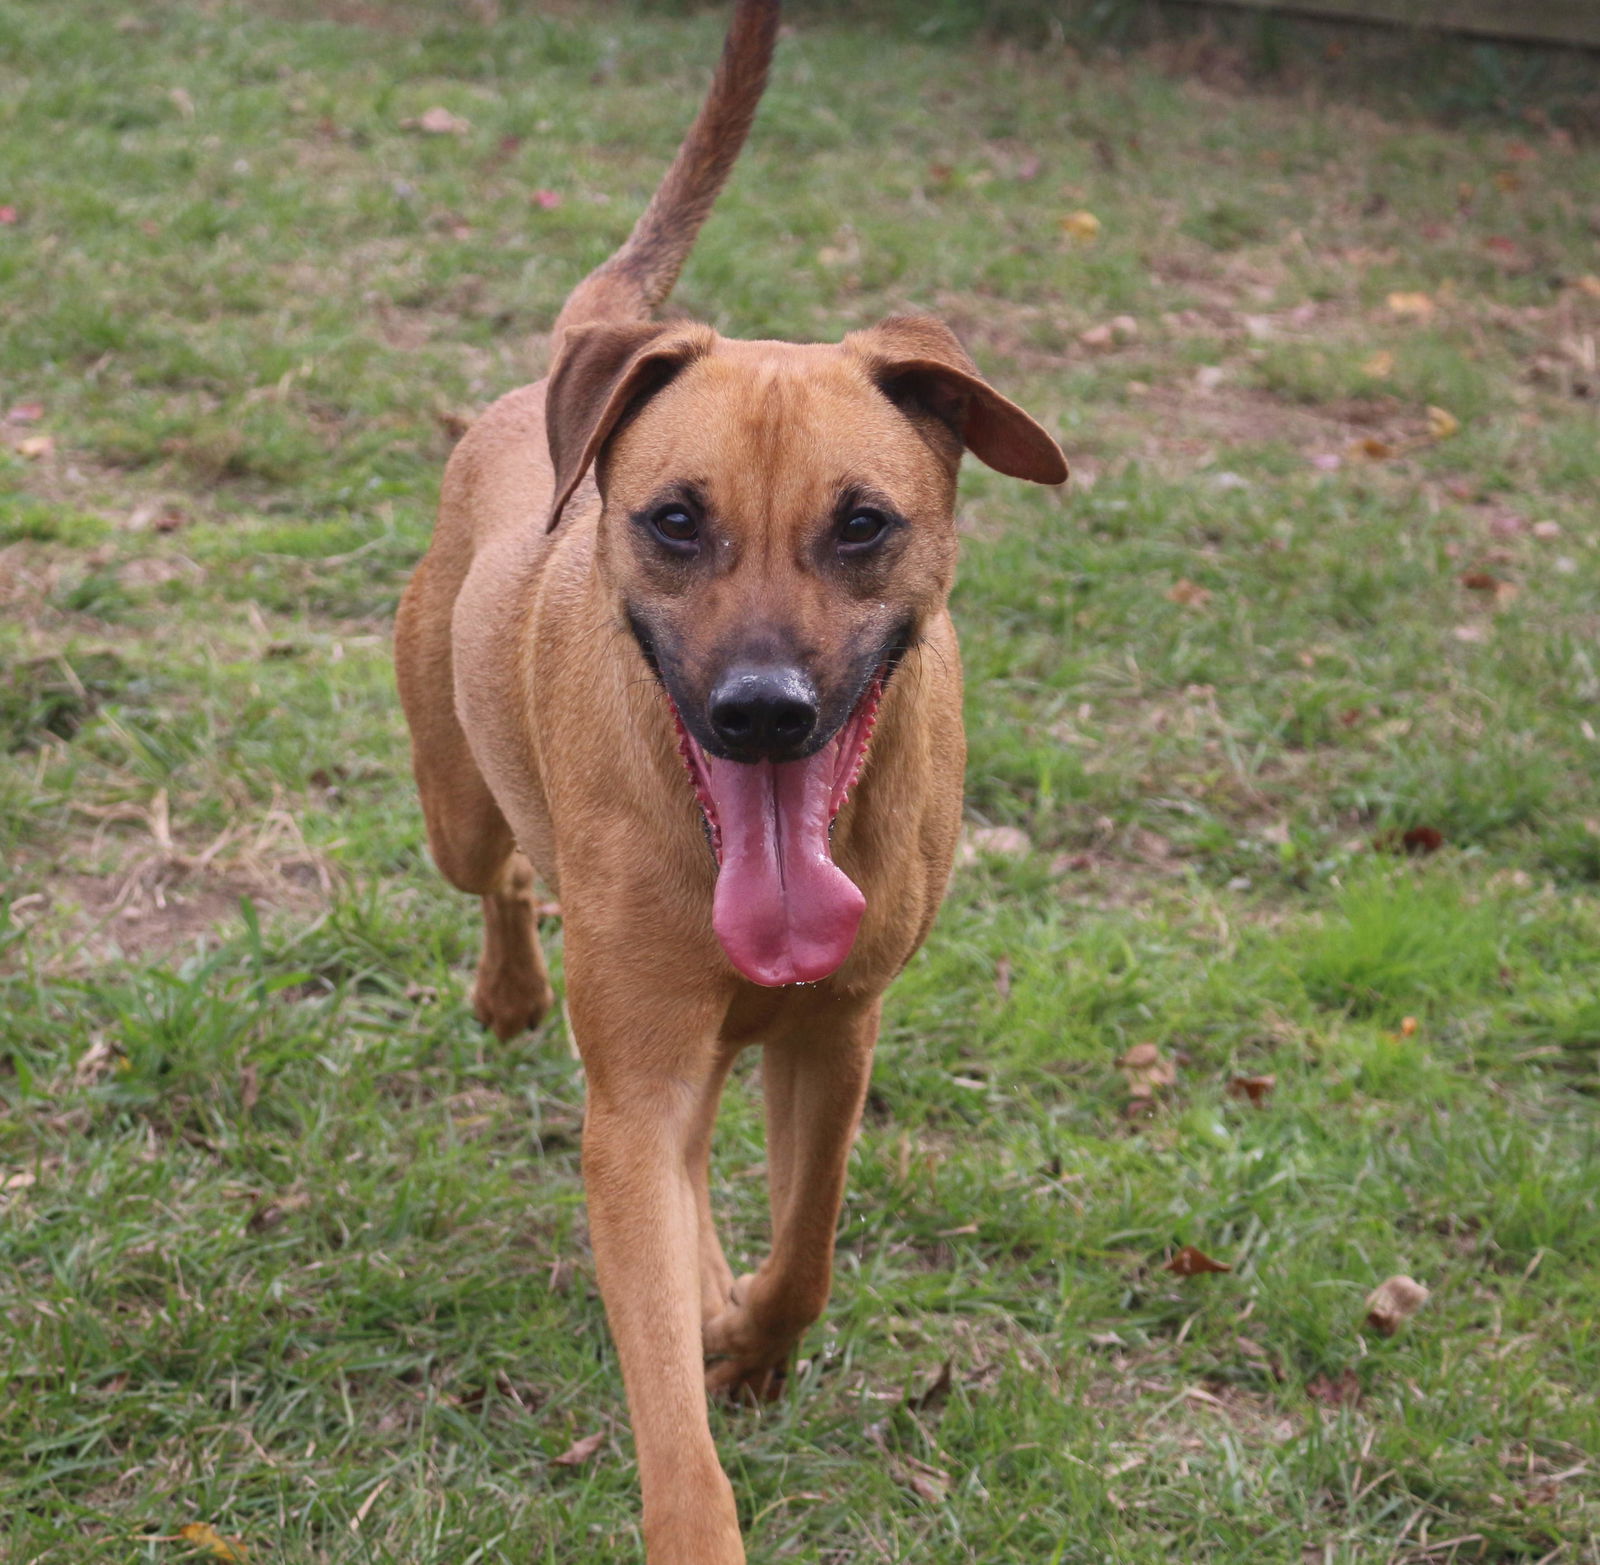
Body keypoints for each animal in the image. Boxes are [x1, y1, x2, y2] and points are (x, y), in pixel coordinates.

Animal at [390, 6, 1062, 1555]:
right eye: (675, 522)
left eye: (864, 523)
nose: (762, 712)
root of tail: (568, 362)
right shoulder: (635, 1090)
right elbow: (663, 1388)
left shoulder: (840, 1029)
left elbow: (808, 1243)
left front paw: (752, 1337)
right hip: (457, 802)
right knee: (496, 873)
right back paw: (509, 987)